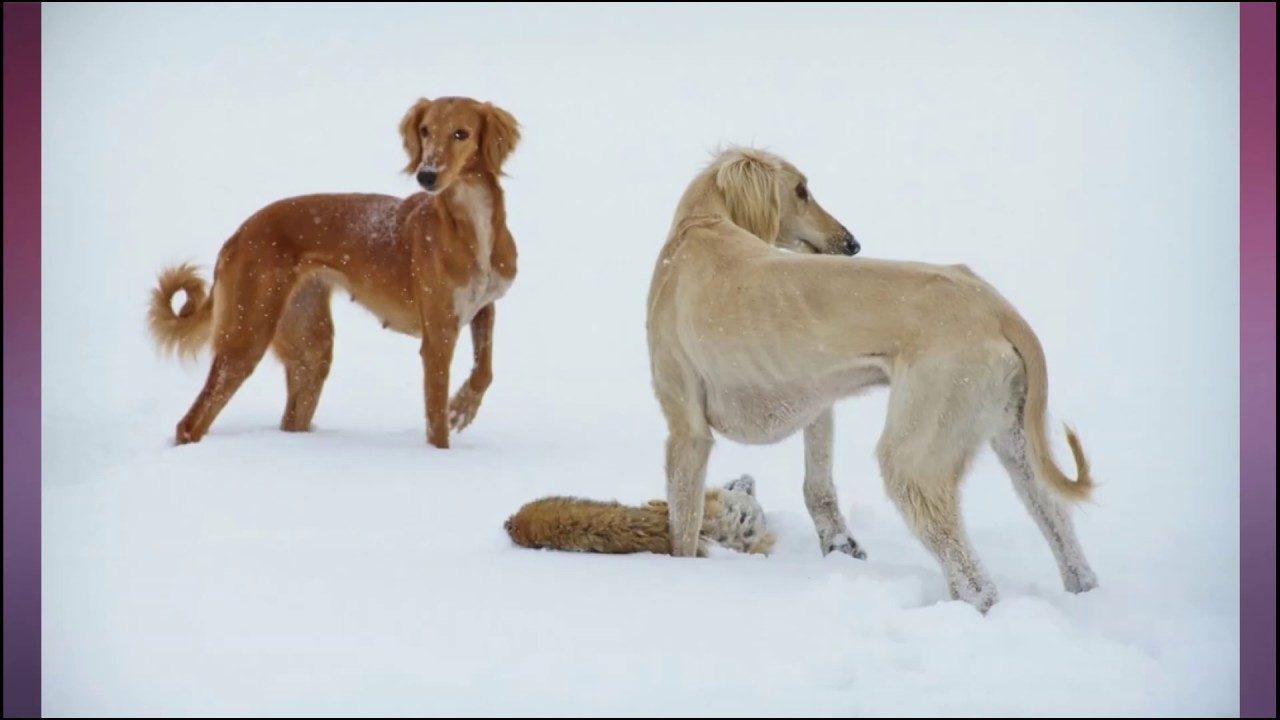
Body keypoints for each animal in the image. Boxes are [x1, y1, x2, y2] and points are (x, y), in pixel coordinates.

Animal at [151, 92, 524, 445]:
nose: (426, 176)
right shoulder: (438, 338)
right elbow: (437, 426)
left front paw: (463, 407)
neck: (471, 225)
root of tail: (238, 234)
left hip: (310, 347)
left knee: (290, 419)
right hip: (248, 333)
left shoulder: (483, 307)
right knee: (190, 422)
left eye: (461, 133)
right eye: (425, 131)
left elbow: (484, 370)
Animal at [645, 146, 1095, 609]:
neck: (699, 227)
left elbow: (683, 526)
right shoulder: (816, 399)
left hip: (916, 455)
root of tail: (996, 307)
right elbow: (819, 486)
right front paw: (840, 544)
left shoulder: (687, 432)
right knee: (1057, 523)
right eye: (801, 190)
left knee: (976, 583)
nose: (852, 244)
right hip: (1014, 437)